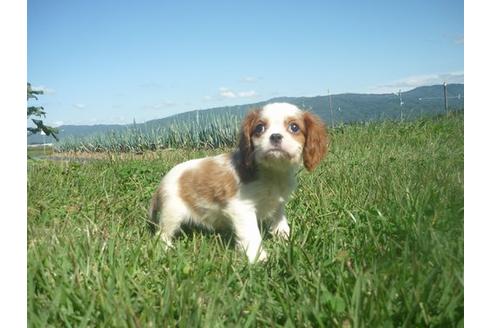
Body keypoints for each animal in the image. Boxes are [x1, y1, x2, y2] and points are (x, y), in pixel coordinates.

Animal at [148, 102, 328, 262]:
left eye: (294, 127)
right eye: (259, 128)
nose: (275, 136)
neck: (273, 171)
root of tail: (161, 184)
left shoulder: (278, 206)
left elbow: (281, 225)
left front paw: (288, 242)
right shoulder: (242, 208)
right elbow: (251, 234)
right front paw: (259, 259)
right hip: (172, 212)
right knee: (161, 234)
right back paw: (166, 249)